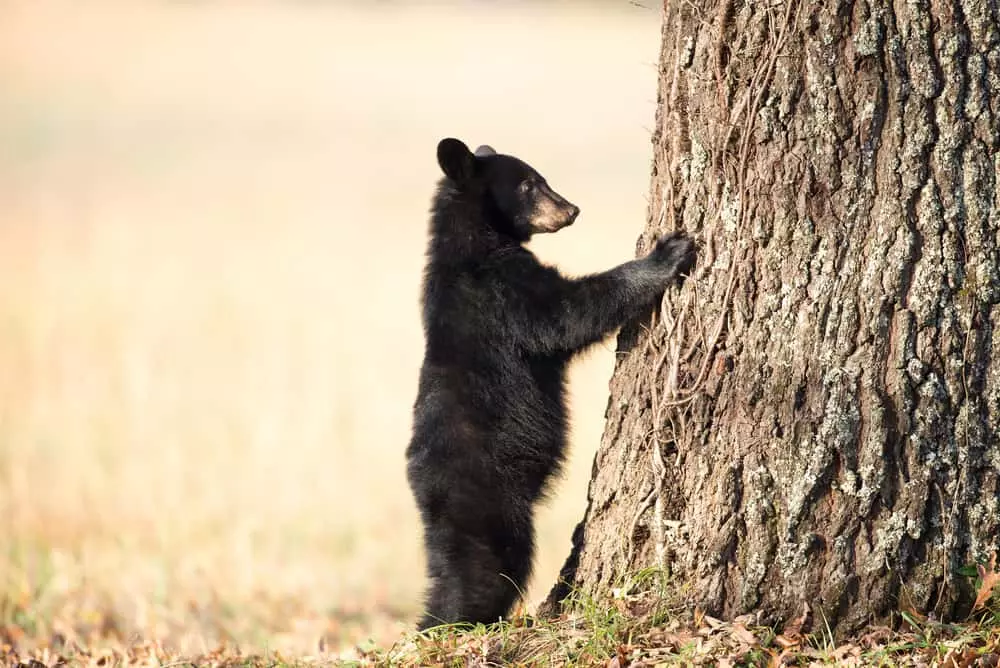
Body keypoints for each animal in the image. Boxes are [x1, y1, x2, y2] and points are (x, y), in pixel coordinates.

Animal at [406, 138, 696, 628]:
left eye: (540, 178)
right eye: (528, 184)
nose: (572, 209)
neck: (473, 244)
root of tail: (425, 491)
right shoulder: (502, 292)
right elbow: (567, 314)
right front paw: (667, 253)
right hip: (490, 497)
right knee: (487, 567)